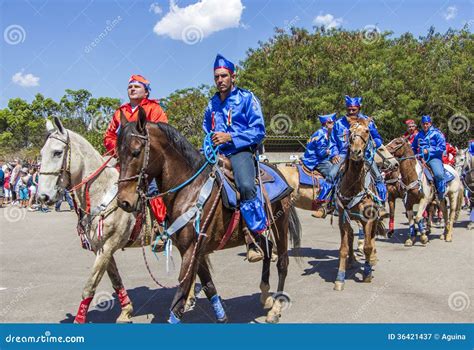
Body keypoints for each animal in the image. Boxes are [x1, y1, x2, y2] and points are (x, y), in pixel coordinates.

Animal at [114, 108, 300, 324]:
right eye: (117, 155)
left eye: (136, 152)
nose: (124, 201)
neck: (189, 189)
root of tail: (278, 170)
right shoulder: (195, 251)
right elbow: (208, 285)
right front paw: (222, 317)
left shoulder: (191, 250)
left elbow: (180, 296)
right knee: (267, 251)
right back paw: (265, 295)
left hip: (280, 224)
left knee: (282, 262)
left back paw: (276, 308)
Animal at [334, 119, 386, 292]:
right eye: (350, 132)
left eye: (367, 131)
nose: (356, 152)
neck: (354, 186)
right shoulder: (343, 218)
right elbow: (343, 248)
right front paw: (340, 278)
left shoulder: (368, 218)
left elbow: (368, 246)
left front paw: (367, 273)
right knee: (351, 235)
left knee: (372, 238)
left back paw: (372, 259)